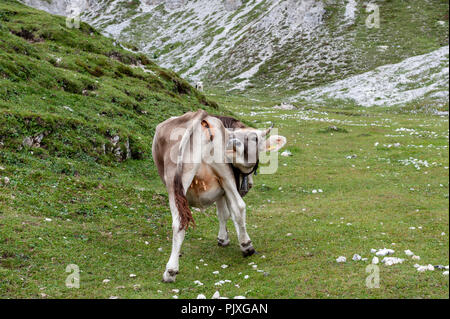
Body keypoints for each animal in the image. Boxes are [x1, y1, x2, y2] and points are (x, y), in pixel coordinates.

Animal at [153, 109, 286, 282]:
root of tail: (202, 118)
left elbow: (223, 213)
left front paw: (223, 238)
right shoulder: (225, 187)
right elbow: (226, 212)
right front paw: (225, 237)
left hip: (180, 182)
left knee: (180, 222)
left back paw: (170, 271)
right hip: (223, 175)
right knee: (238, 207)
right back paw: (246, 246)